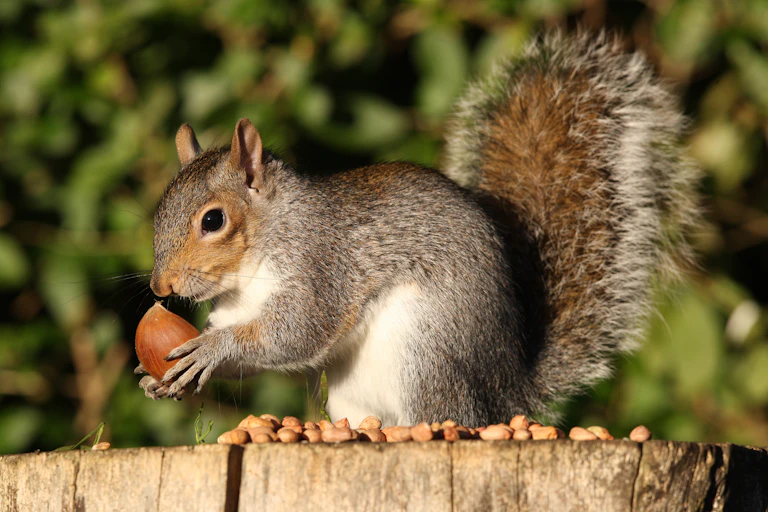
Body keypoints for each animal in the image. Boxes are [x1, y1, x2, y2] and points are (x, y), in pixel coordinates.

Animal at [136, 31, 699, 428]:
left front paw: (213, 350)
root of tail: (506, 395)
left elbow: (296, 333)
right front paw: (162, 376)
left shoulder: (321, 265)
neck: (251, 268)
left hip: (425, 353)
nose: (160, 287)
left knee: (443, 417)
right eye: (160, 209)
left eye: (213, 220)